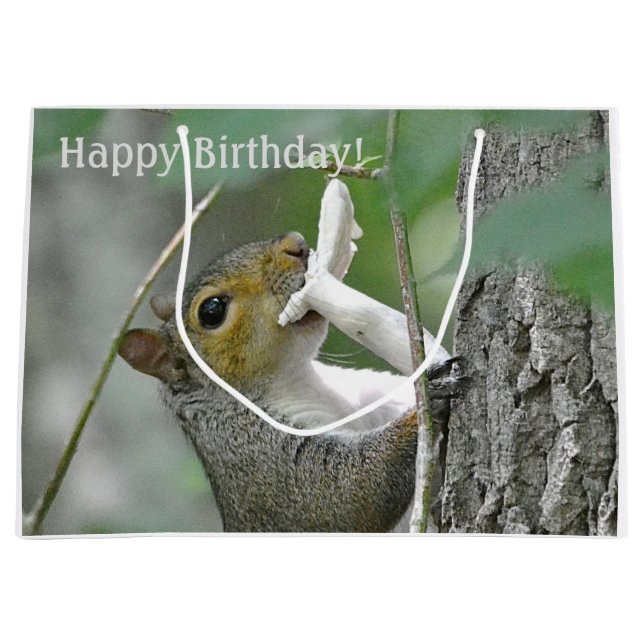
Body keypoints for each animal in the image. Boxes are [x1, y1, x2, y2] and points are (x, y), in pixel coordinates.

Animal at [118, 231, 459, 532]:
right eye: (212, 310)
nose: (295, 244)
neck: (298, 378)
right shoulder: (256, 454)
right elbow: (343, 495)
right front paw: (426, 403)